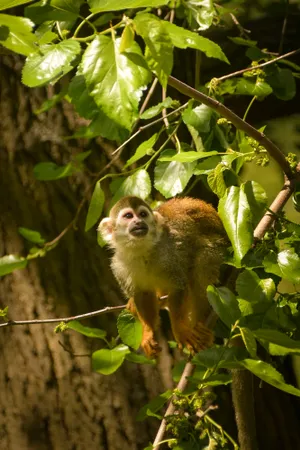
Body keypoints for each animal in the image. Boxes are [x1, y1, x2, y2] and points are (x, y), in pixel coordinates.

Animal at [98, 197, 227, 358]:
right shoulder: (119, 267)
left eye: (143, 214)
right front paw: (147, 333)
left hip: (215, 245)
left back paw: (200, 323)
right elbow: (142, 294)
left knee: (201, 268)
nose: (139, 222)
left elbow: (179, 286)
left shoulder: (168, 254)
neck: (141, 251)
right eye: (128, 216)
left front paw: (180, 329)